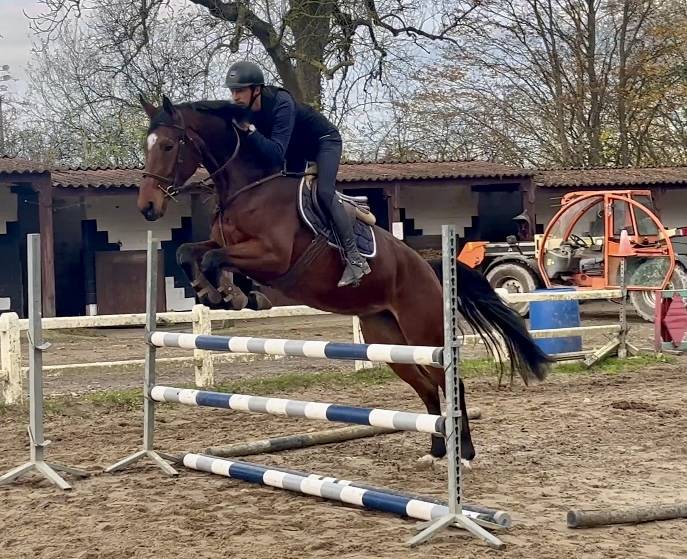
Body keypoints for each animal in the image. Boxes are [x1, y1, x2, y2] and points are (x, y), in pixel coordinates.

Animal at [136, 94, 551, 464]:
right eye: (147, 145)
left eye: (169, 145)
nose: (147, 208)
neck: (247, 189)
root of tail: (430, 269)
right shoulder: (229, 245)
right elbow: (188, 252)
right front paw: (220, 293)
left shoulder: (272, 256)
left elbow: (211, 257)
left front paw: (231, 293)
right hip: (388, 341)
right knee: (426, 386)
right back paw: (436, 451)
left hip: (425, 334)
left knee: (451, 382)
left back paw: (464, 453)